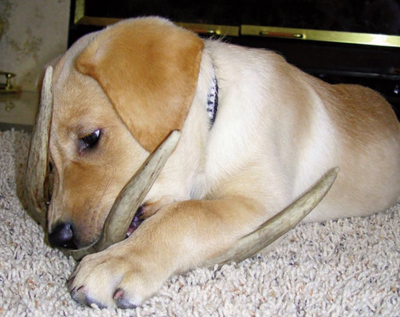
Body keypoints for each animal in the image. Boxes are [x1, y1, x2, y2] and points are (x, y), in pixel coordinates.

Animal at [42, 16, 398, 306]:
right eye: (50, 165)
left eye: (91, 137)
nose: (58, 238)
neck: (215, 121)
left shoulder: (264, 206)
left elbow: (185, 215)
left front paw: (116, 261)